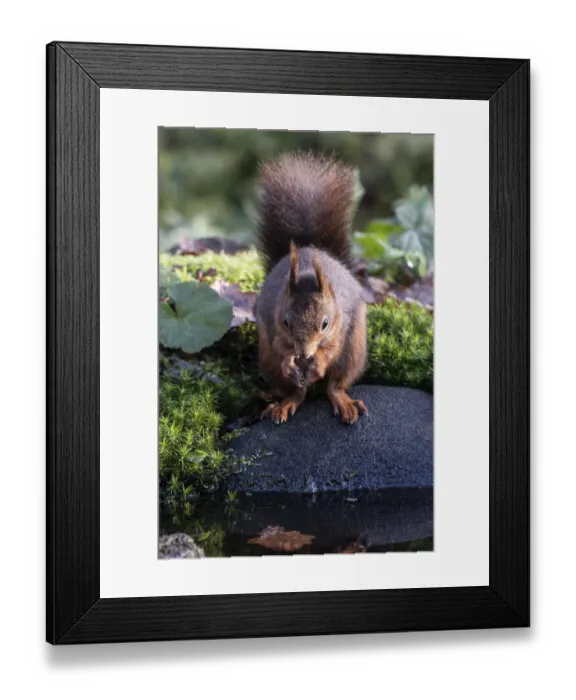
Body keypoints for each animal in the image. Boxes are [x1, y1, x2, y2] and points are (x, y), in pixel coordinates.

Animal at [253, 152, 368, 425]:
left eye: (325, 323)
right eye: (286, 322)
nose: (304, 355)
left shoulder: (341, 324)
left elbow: (332, 348)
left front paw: (319, 363)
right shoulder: (272, 323)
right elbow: (281, 346)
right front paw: (289, 361)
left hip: (354, 352)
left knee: (335, 385)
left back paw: (344, 402)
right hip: (268, 361)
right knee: (298, 392)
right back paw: (285, 403)